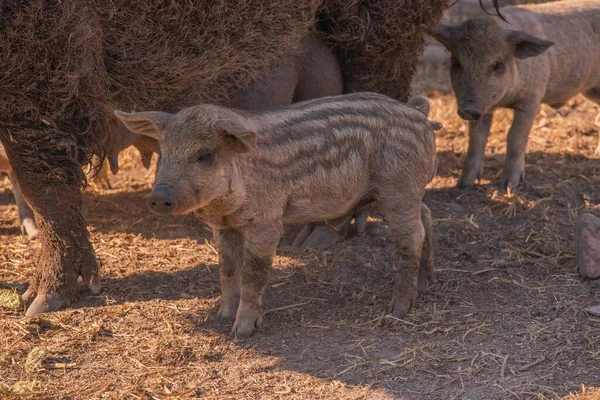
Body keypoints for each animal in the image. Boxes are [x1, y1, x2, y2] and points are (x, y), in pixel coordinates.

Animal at [115, 94, 438, 338]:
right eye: (163, 152)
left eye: (204, 155)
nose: (159, 197)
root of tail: (418, 113)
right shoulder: (224, 227)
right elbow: (227, 269)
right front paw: (221, 319)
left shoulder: (268, 221)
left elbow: (253, 273)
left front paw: (241, 333)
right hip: (407, 193)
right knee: (426, 216)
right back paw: (425, 287)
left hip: (398, 189)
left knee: (412, 237)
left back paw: (397, 310)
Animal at [432, 0, 600, 189]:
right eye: (456, 63)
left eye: (497, 65)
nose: (468, 109)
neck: (507, 100)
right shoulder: (485, 107)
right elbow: (477, 138)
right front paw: (464, 184)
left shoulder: (532, 98)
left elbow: (515, 135)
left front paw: (508, 185)